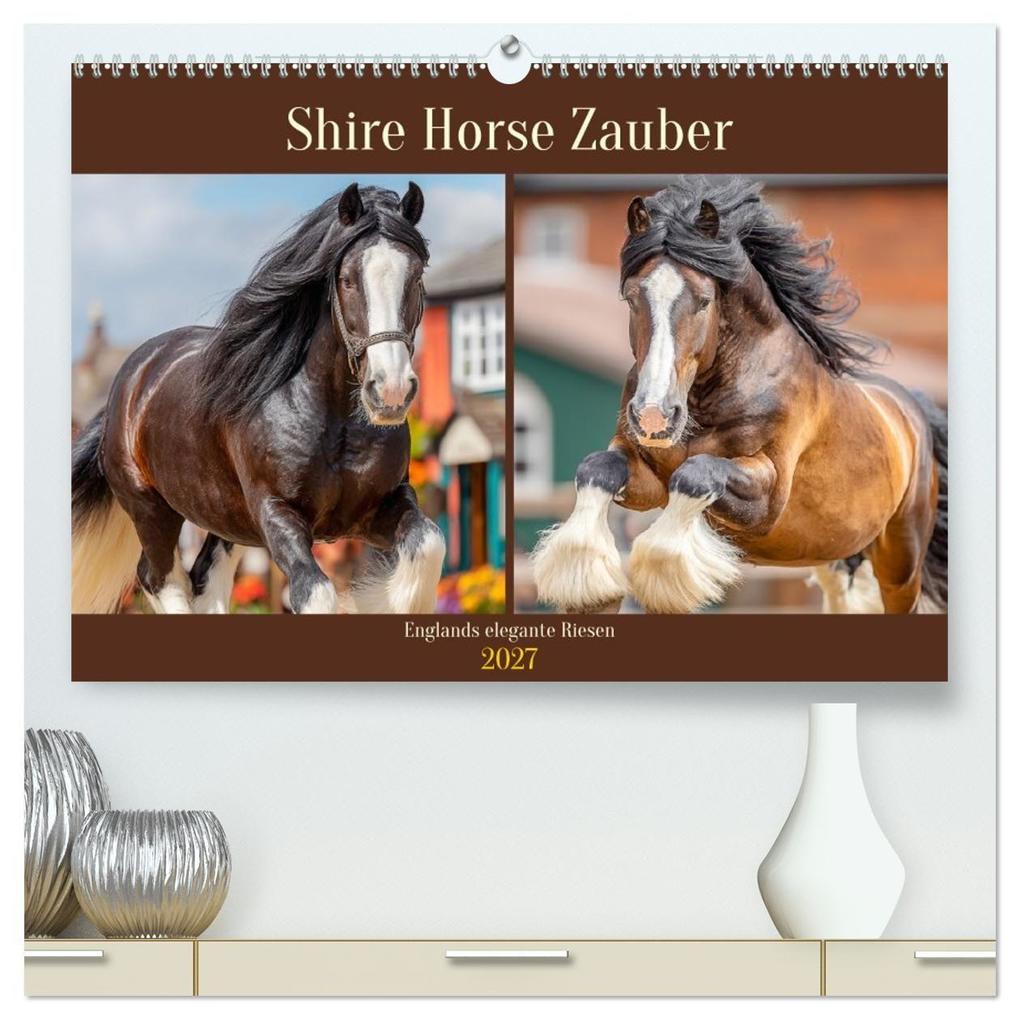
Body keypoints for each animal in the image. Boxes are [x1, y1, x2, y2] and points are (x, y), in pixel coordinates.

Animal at [72, 182, 446, 615]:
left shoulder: (379, 508)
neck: (332, 421)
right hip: (152, 511)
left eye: (416, 277)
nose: (391, 391)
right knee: (159, 579)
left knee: (204, 580)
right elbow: (315, 594)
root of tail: (131, 381)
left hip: (225, 519)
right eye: (348, 279)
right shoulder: (278, 514)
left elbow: (430, 545)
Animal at [533, 177, 948, 615]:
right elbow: (597, 468)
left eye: (704, 300)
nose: (653, 417)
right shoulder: (647, 482)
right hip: (835, 557)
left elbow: (695, 474)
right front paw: (588, 583)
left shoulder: (767, 498)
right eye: (632, 297)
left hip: (900, 563)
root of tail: (912, 411)